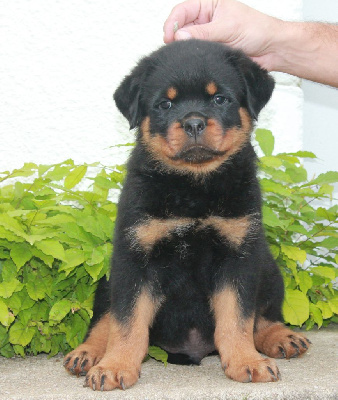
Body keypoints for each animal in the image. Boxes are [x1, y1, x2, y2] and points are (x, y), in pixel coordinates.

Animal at [64, 39, 310, 390]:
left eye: (220, 99)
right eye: (165, 104)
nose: (193, 123)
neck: (193, 186)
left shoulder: (237, 255)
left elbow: (238, 317)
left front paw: (245, 361)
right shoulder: (135, 257)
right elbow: (126, 322)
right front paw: (115, 366)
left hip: (267, 265)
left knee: (263, 316)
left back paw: (282, 337)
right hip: (108, 278)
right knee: (104, 319)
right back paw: (87, 353)